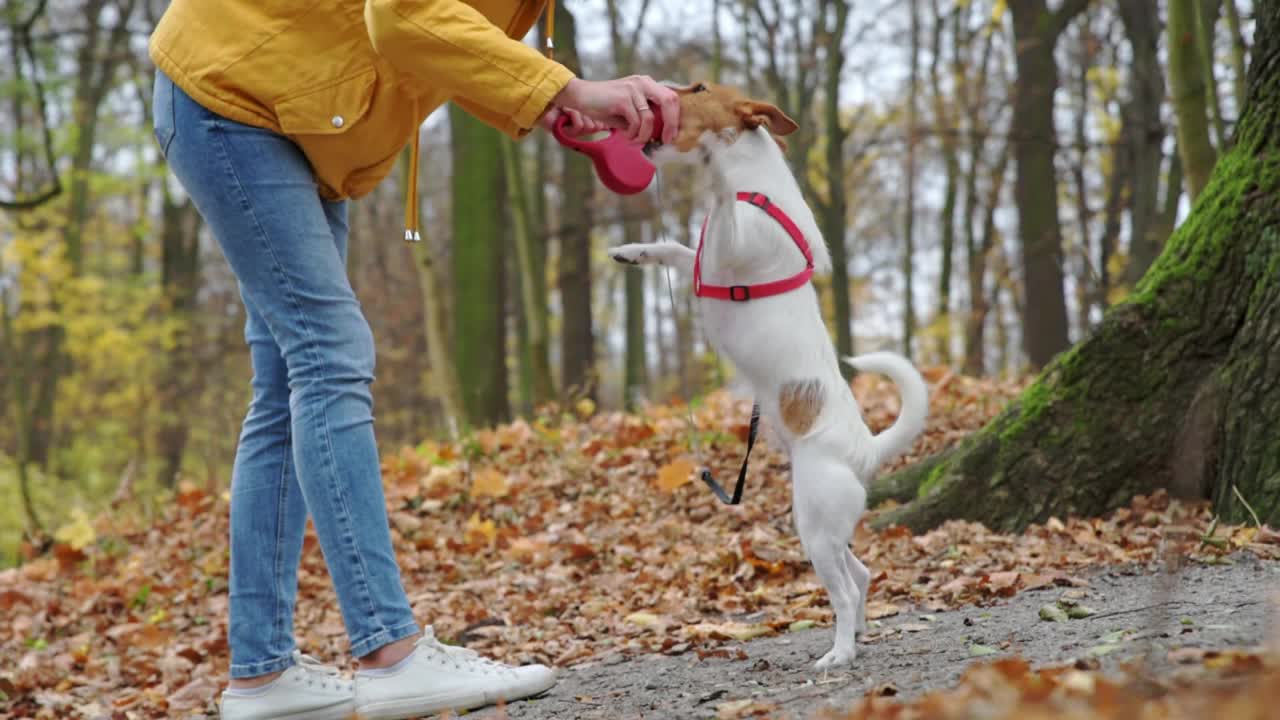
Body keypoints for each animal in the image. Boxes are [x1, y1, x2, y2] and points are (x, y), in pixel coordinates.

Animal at [609, 81, 931, 666]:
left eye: (697, 88)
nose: (661, 90)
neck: (753, 181)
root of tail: (866, 451)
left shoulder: (733, 242)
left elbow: (720, 208)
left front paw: (714, 178)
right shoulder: (701, 261)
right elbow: (675, 248)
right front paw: (632, 251)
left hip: (815, 524)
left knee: (843, 591)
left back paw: (839, 654)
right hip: (824, 529)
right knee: (862, 575)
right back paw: (859, 636)